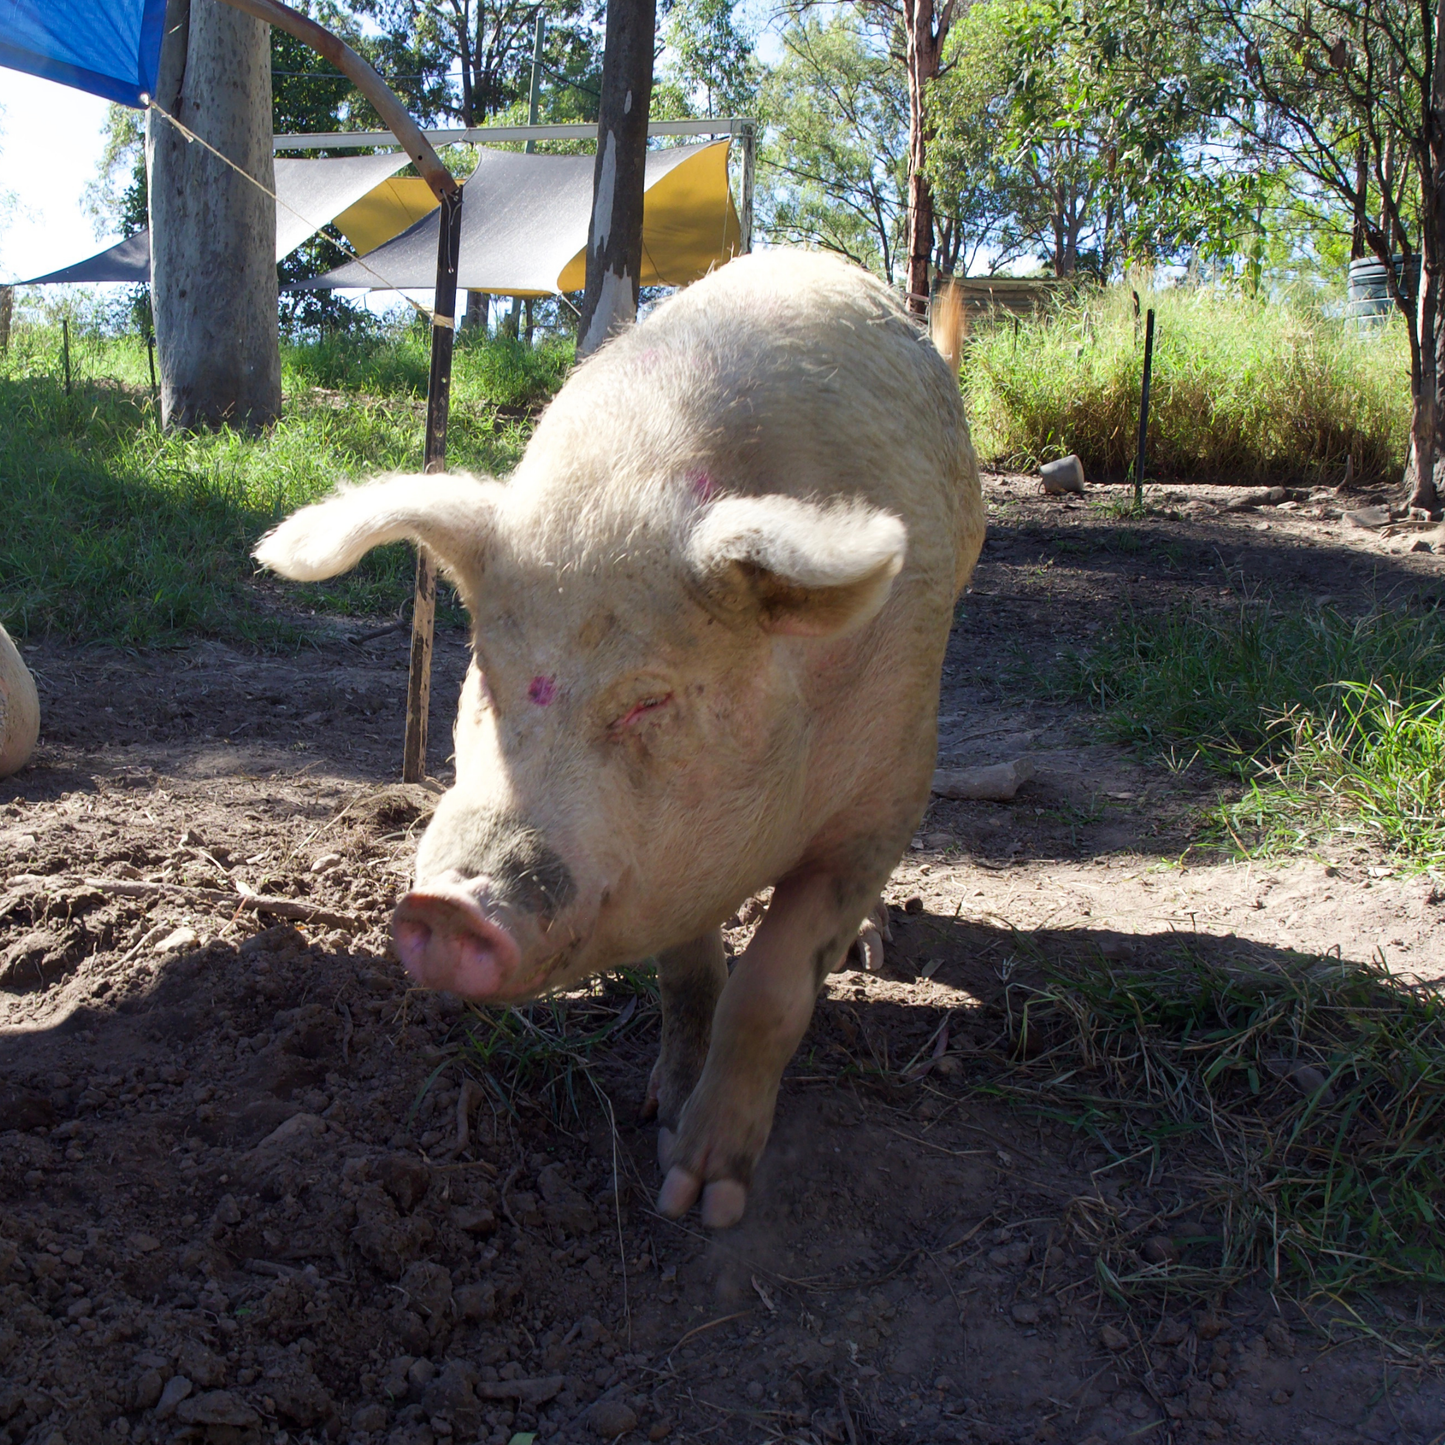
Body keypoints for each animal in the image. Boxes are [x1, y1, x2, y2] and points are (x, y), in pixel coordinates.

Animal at [255, 250, 985, 1228]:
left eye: (649, 699)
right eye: (484, 670)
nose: (446, 906)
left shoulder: (888, 791)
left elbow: (768, 989)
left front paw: (699, 1198)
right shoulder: (666, 864)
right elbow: (688, 976)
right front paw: (660, 1117)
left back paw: (870, 955)